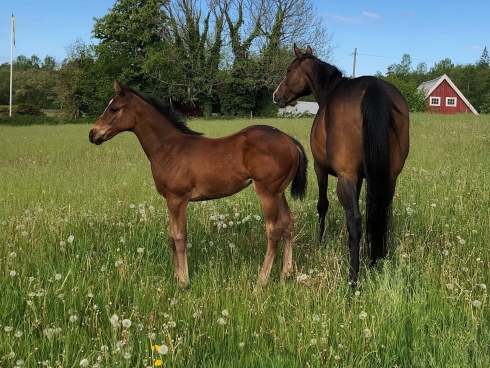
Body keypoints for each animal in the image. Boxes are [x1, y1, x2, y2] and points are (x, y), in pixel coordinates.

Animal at [89, 80, 306, 288]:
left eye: (114, 108)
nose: (92, 134)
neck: (169, 148)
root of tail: (290, 141)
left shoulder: (178, 198)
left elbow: (180, 238)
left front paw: (183, 282)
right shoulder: (170, 199)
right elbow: (172, 236)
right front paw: (177, 277)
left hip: (267, 192)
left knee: (274, 230)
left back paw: (261, 281)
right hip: (279, 192)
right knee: (288, 223)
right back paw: (285, 275)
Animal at [274, 43, 408, 284]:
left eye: (289, 70)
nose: (275, 96)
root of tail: (374, 89)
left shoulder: (321, 169)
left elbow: (322, 205)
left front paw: (320, 241)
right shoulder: (360, 177)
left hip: (344, 178)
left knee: (354, 220)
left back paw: (353, 279)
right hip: (389, 178)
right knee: (380, 213)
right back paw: (376, 261)